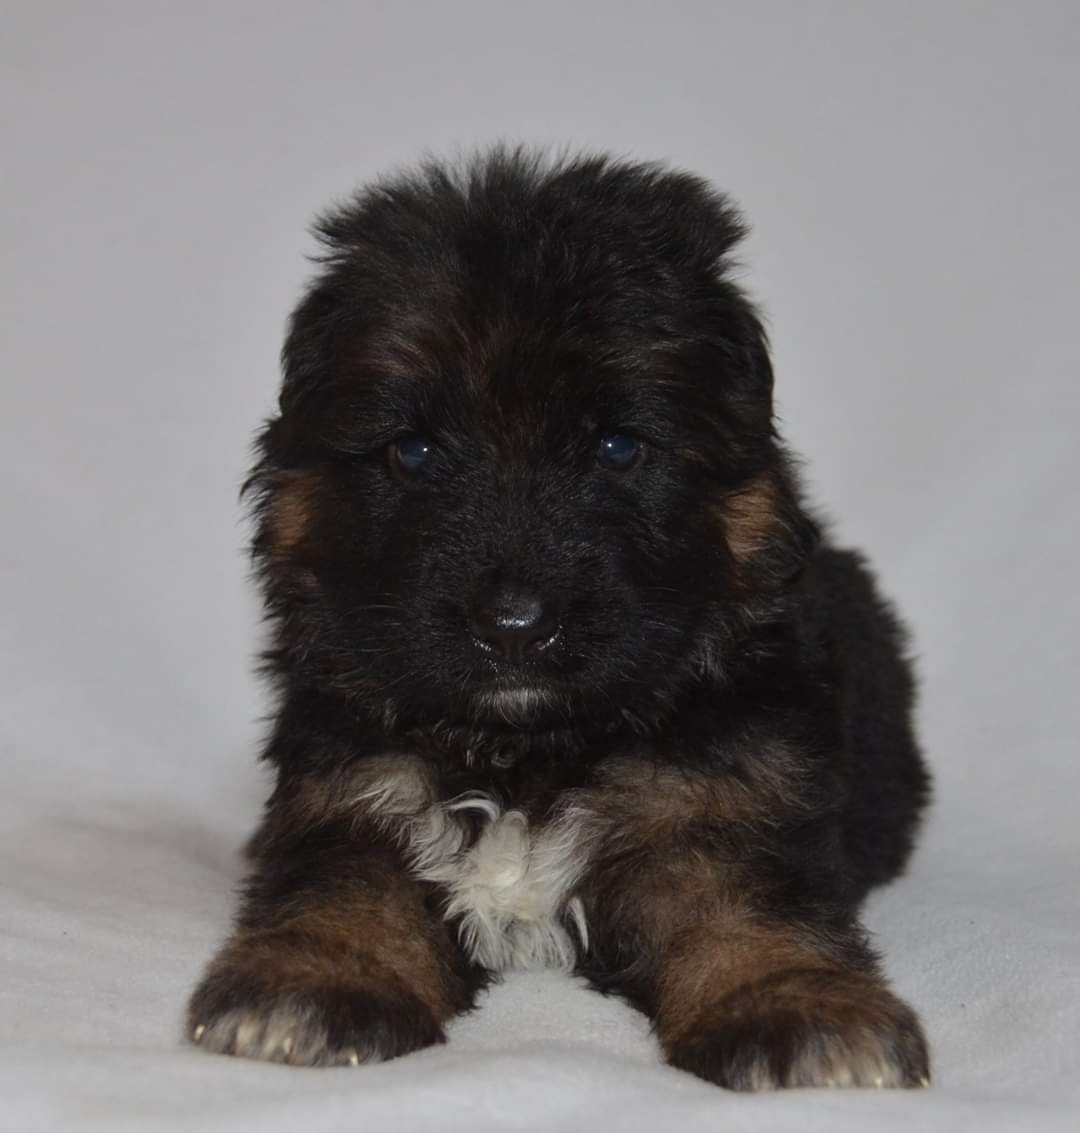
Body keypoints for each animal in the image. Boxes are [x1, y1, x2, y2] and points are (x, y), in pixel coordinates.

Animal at [187, 147, 932, 1090]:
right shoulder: (351, 778)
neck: (526, 753)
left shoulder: (724, 788)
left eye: (617, 447)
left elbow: (747, 897)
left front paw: (797, 1003)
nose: (513, 625)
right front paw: (315, 975)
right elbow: (342, 878)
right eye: (414, 451)